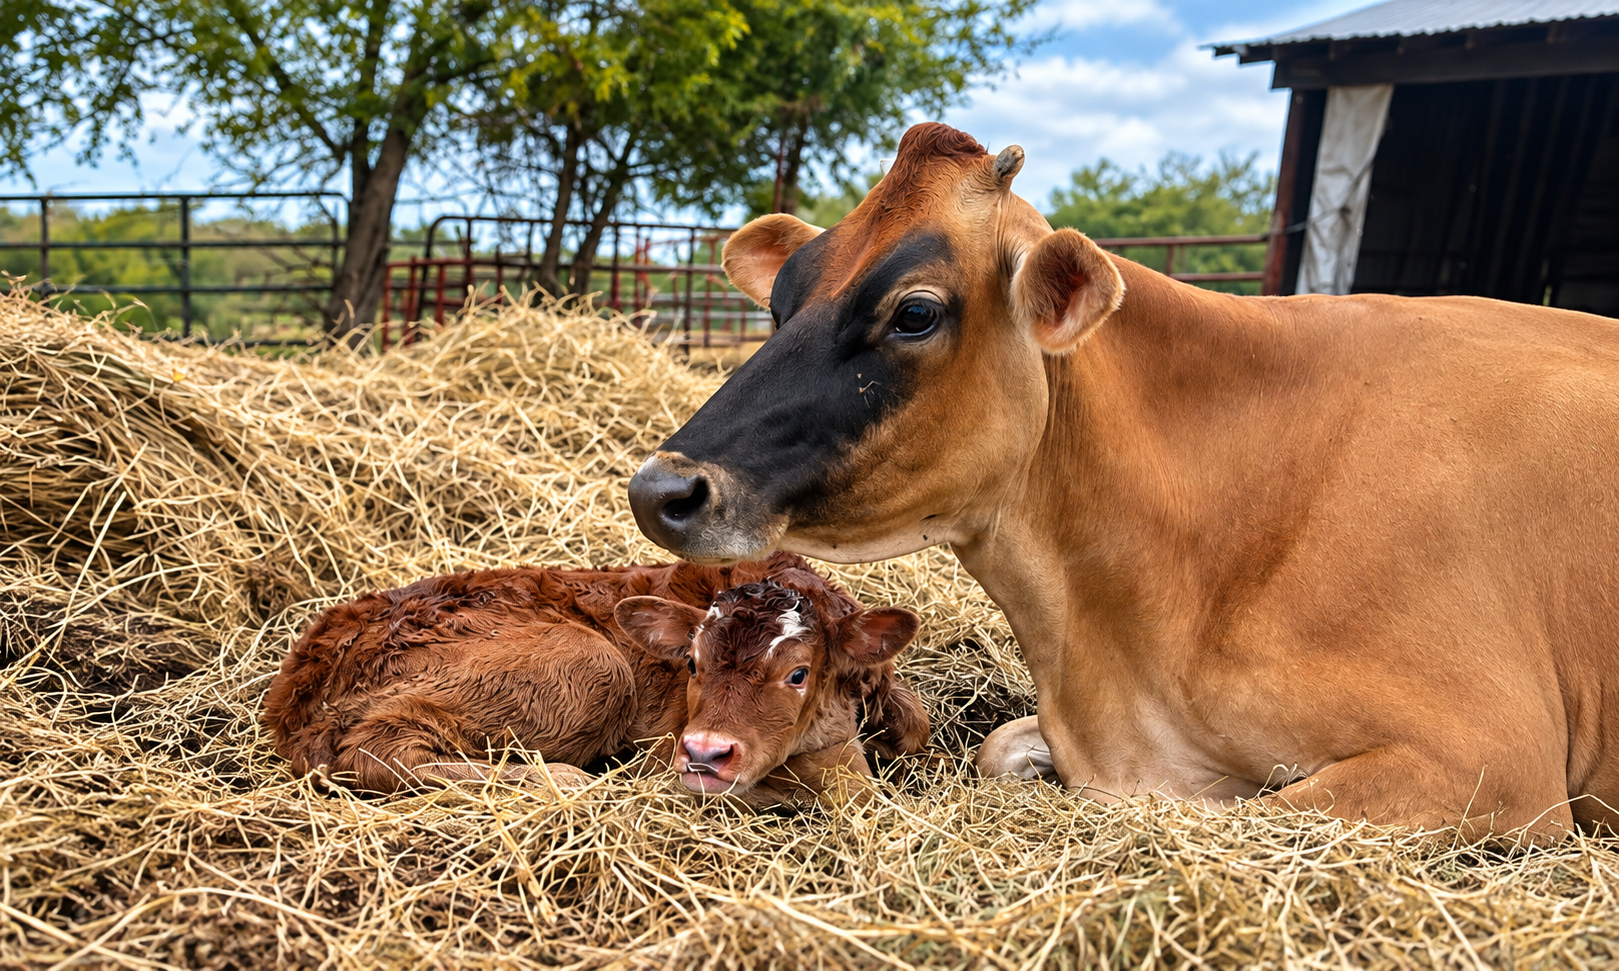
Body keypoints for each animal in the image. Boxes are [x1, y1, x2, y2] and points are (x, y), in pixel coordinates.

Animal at [262, 552, 929, 807]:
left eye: (797, 673)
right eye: (692, 663)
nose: (706, 752)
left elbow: (910, 727)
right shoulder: (666, 750)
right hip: (590, 661)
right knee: (378, 749)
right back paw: (567, 780)